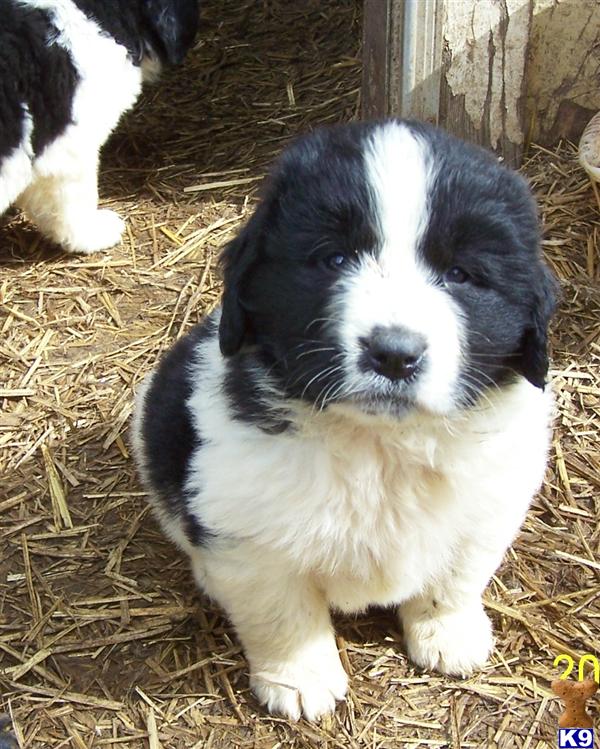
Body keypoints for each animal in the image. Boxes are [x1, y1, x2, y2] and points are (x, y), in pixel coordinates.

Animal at [132, 120, 556, 720]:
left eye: (460, 274)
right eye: (333, 260)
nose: (395, 355)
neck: (380, 445)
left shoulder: (492, 500)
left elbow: (456, 575)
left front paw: (448, 633)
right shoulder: (247, 531)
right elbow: (282, 612)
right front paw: (300, 678)